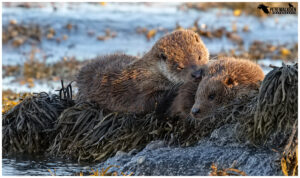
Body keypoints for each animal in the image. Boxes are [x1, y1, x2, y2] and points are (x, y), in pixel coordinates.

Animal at [76, 28, 210, 113]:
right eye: (180, 66)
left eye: (199, 57)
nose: (197, 74)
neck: (149, 73)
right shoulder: (139, 91)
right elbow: (147, 104)